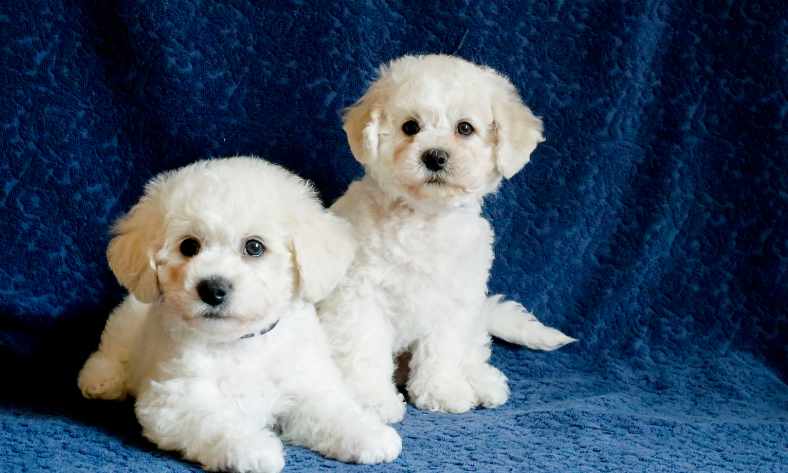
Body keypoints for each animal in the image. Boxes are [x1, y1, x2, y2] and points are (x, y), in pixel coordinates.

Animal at [77, 158, 400, 472]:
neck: (241, 342)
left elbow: (332, 410)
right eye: (189, 246)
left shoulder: (304, 384)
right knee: (111, 349)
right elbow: (215, 421)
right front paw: (252, 449)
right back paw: (100, 380)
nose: (212, 288)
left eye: (254, 246)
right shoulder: (175, 399)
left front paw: (368, 434)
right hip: (127, 320)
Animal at [318, 54, 572, 420]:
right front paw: (372, 402)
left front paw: (441, 391)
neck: (425, 218)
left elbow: (443, 349)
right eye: (410, 127)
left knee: (473, 349)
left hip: (474, 314)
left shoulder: (454, 300)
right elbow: (365, 350)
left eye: (465, 128)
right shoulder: (360, 297)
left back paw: (483, 383)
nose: (435, 156)